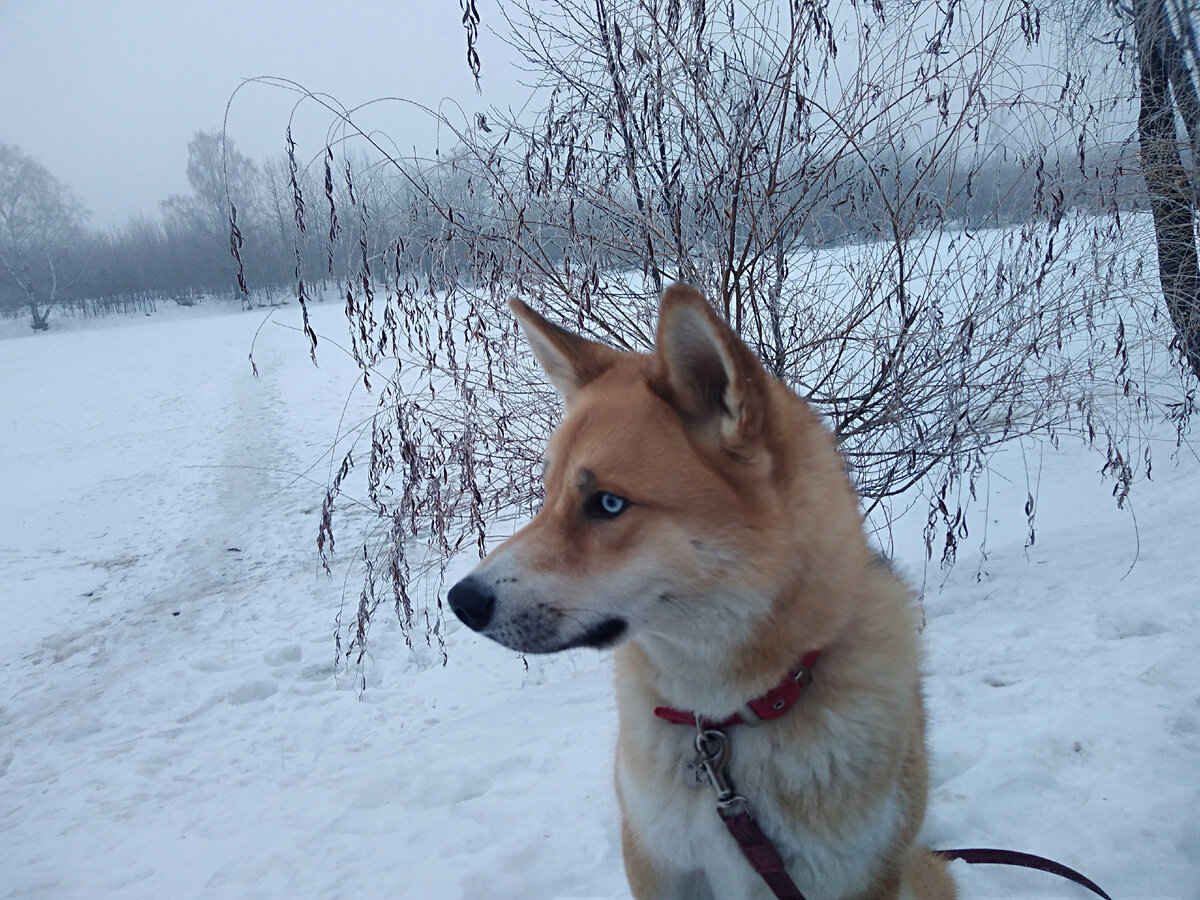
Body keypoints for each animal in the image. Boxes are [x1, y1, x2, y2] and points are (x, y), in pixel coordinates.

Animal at [446, 283, 950, 900]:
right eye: (547, 493)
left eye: (607, 504)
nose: (461, 602)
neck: (723, 720)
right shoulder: (658, 862)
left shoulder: (860, 877)